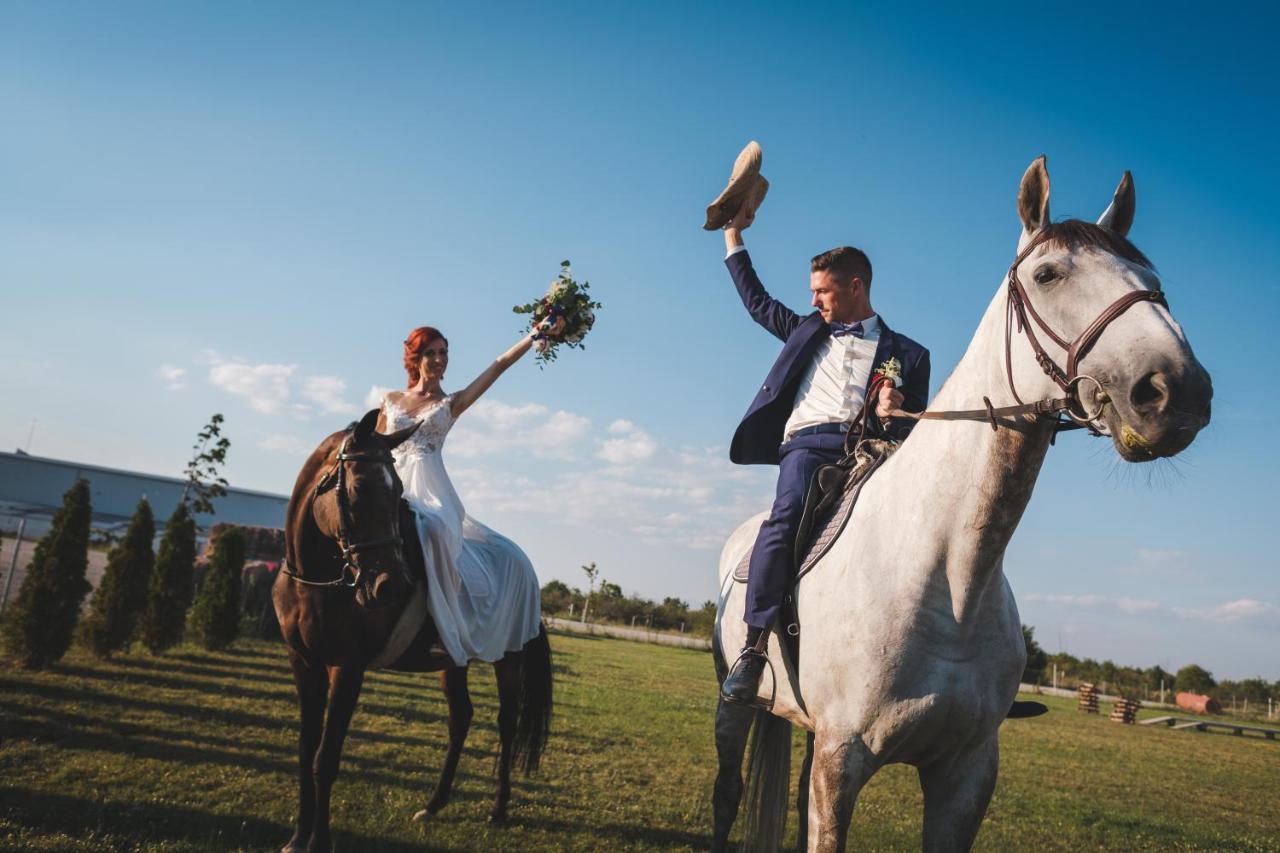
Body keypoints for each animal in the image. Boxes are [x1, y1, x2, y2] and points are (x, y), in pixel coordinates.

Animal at [272, 409, 552, 845]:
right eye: (361, 487)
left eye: (399, 491)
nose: (392, 585)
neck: (313, 578)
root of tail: (526, 565)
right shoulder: (304, 662)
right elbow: (305, 750)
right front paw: (297, 839)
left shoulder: (347, 668)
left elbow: (326, 758)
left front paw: (319, 841)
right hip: (454, 661)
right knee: (461, 718)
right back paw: (434, 805)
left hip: (508, 659)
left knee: (506, 723)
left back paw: (498, 810)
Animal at [716, 156, 1213, 845]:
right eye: (1048, 274)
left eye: (1154, 281)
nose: (1176, 391)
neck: (948, 575)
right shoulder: (842, 762)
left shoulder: (966, 775)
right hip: (736, 708)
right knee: (727, 792)